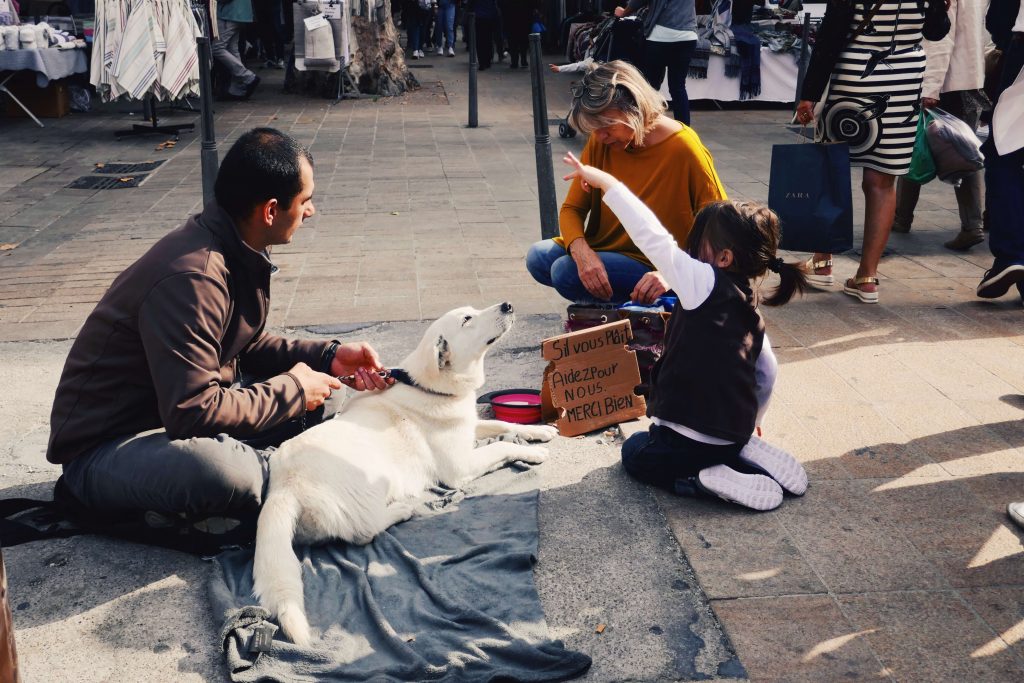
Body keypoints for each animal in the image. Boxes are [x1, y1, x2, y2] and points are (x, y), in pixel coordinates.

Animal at [251, 303, 557, 647]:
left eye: (473, 310)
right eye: (467, 319)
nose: (507, 304)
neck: (431, 387)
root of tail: (283, 487)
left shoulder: (469, 428)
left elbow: (504, 426)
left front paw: (541, 430)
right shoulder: (462, 466)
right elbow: (502, 446)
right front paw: (533, 453)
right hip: (370, 480)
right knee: (364, 532)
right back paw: (401, 510)